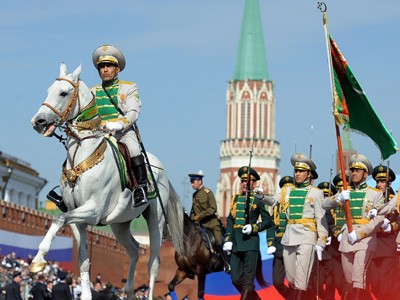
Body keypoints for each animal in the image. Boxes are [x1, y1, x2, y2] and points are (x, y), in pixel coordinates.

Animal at [30, 62, 184, 300]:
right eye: (48, 90)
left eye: (63, 93)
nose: (38, 121)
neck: (83, 157)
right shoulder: (77, 219)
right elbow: (83, 260)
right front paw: (85, 294)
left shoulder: (92, 211)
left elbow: (57, 219)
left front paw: (38, 260)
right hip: (119, 224)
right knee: (133, 250)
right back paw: (129, 291)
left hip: (155, 221)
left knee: (153, 263)